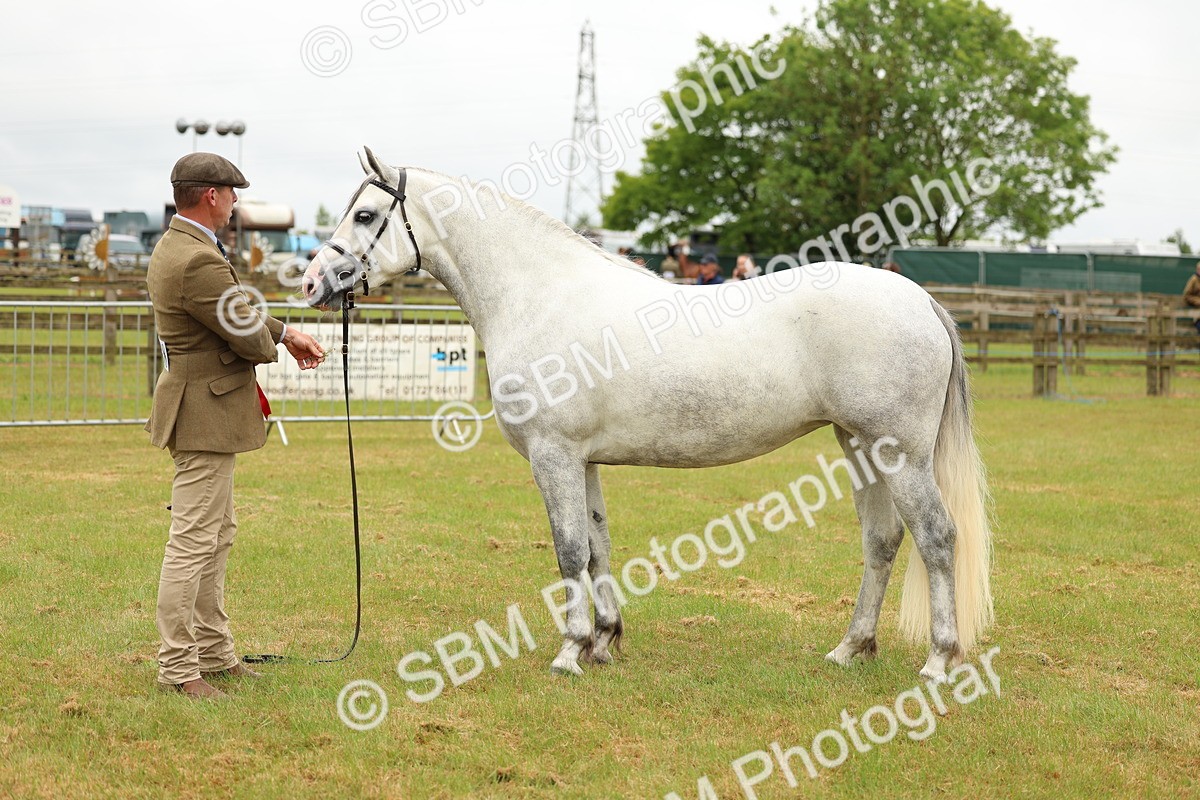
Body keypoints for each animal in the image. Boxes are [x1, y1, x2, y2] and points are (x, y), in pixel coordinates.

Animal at [302, 148, 993, 682]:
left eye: (365, 214)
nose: (311, 283)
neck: (541, 294)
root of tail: (920, 299)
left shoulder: (554, 455)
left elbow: (568, 551)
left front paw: (570, 652)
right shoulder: (582, 460)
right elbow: (597, 547)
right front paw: (605, 640)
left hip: (898, 452)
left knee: (937, 537)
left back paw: (939, 660)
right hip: (860, 447)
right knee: (882, 541)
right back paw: (851, 648)